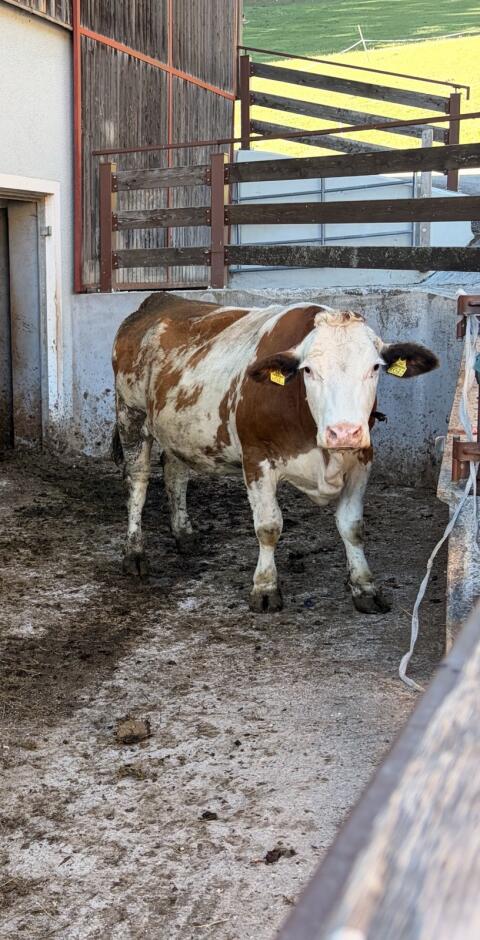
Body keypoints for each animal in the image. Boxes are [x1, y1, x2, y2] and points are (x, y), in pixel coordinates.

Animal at [112, 293, 438, 614]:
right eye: (309, 370)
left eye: (374, 368)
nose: (344, 432)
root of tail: (159, 299)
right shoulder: (257, 459)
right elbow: (268, 527)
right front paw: (266, 588)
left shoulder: (361, 459)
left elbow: (352, 526)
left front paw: (365, 587)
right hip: (131, 414)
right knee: (138, 481)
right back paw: (135, 553)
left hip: (179, 431)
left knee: (175, 475)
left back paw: (184, 534)